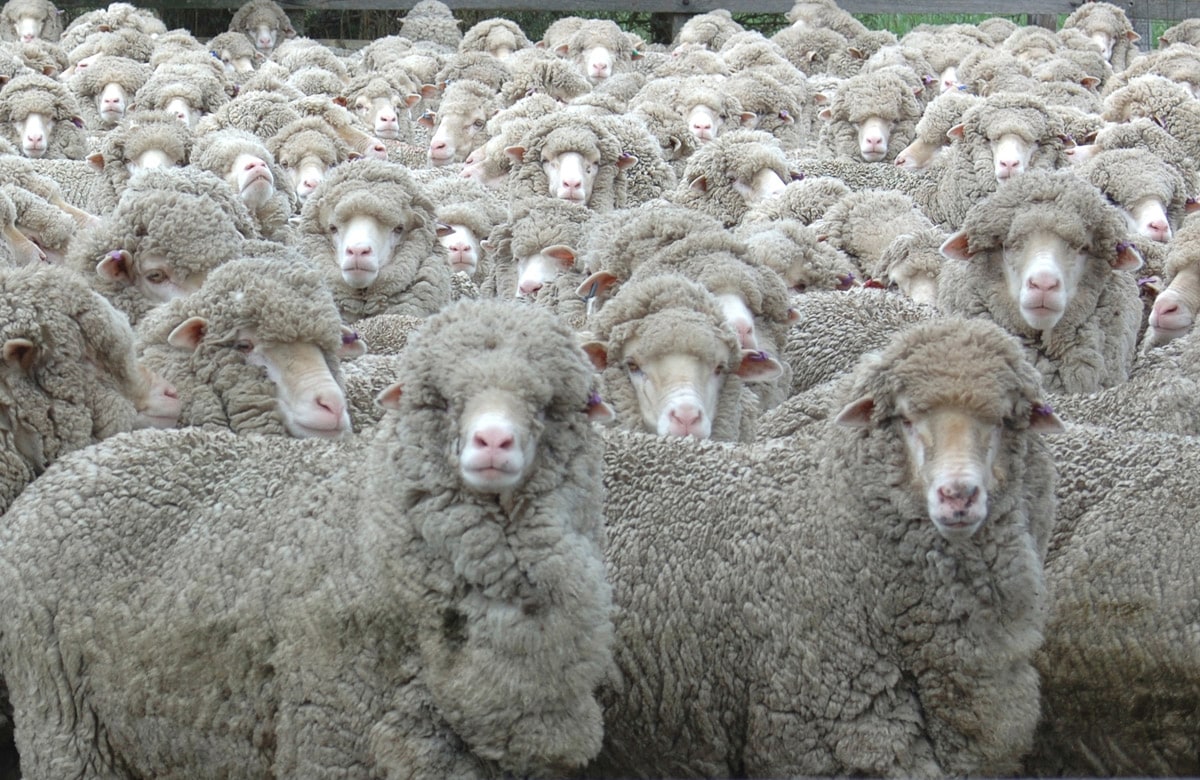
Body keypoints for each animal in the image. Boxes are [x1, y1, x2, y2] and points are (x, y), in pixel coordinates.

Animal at [0, 297, 615, 779]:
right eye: (437, 399)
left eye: (558, 404)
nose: (492, 442)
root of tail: (72, 468)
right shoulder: (330, 733)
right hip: (63, 719)